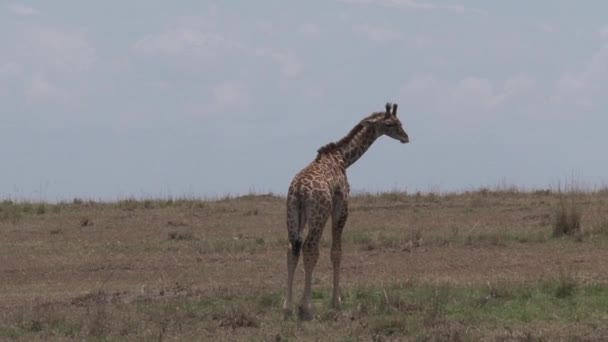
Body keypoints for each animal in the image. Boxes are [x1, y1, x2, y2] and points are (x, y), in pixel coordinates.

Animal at [284, 101, 408, 320]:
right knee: (310, 249)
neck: (342, 158)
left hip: (292, 214)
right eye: (390, 124)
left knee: (293, 248)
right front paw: (337, 302)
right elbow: (336, 252)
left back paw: (288, 307)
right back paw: (307, 308)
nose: (405, 137)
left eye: (399, 122)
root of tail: (298, 189)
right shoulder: (341, 207)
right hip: (319, 215)